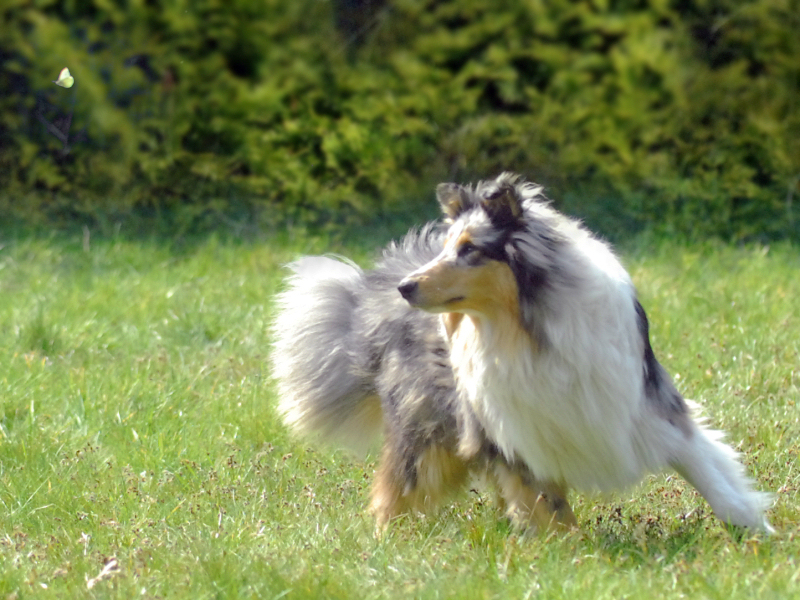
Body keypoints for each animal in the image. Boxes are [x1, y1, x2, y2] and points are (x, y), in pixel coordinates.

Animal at [270, 171, 776, 532]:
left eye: (469, 250)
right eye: (449, 247)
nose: (407, 287)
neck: (526, 329)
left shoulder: (646, 408)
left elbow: (711, 472)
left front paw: (757, 534)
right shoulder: (518, 429)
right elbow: (543, 502)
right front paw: (566, 551)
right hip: (429, 435)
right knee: (395, 493)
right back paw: (385, 542)